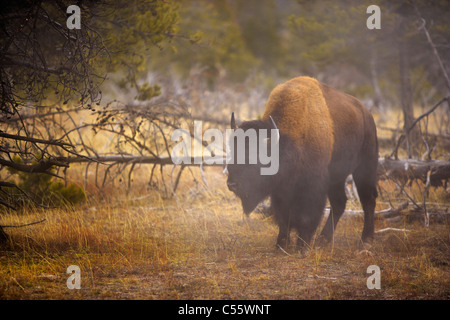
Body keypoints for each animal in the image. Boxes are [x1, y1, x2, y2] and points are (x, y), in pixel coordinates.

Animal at [227, 76, 378, 249]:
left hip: (365, 167)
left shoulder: (312, 185)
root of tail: (367, 114)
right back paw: (323, 239)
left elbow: (307, 215)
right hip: (336, 178)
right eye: (232, 151)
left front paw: (302, 246)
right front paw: (281, 244)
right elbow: (283, 216)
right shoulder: (281, 189)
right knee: (339, 202)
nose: (232, 184)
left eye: (255, 156)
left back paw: (366, 241)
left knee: (368, 200)